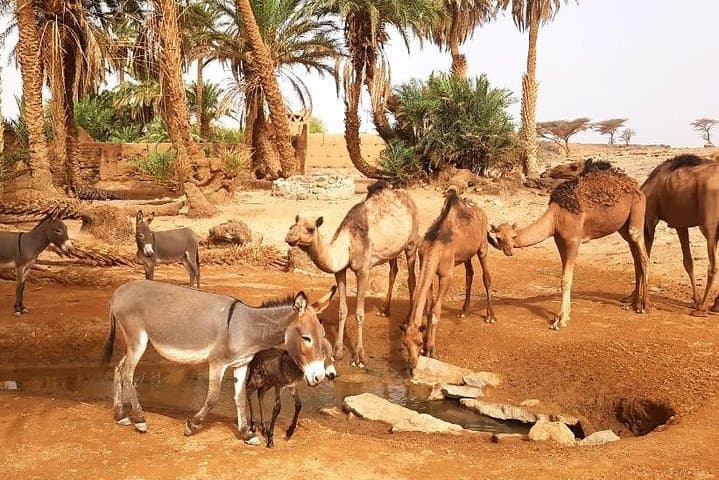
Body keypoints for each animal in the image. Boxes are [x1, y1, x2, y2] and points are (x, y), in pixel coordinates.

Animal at [286, 181, 419, 367]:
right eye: (292, 226)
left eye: (310, 229)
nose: (289, 237)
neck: (347, 244)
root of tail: (408, 197)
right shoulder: (340, 271)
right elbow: (342, 310)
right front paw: (338, 352)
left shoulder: (363, 271)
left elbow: (359, 314)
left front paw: (359, 357)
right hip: (392, 249)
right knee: (394, 270)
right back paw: (385, 310)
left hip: (411, 243)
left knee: (411, 277)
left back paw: (408, 319)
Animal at [401, 187, 497, 373]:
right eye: (405, 344)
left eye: (419, 342)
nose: (412, 364)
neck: (434, 246)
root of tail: (481, 211)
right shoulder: (428, 272)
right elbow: (428, 308)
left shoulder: (446, 275)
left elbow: (435, 310)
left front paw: (430, 349)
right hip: (466, 254)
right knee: (470, 273)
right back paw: (464, 311)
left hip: (482, 245)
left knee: (486, 276)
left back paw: (490, 316)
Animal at [490, 162, 650, 330]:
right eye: (498, 238)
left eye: (513, 237)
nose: (509, 251)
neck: (556, 217)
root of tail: (637, 187)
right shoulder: (560, 241)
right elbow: (563, 277)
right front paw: (562, 316)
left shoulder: (573, 240)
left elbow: (566, 278)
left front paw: (561, 320)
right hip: (623, 226)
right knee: (636, 257)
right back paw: (633, 303)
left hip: (637, 212)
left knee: (643, 256)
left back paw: (643, 306)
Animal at [544, 154, 719, 315]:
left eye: (574, 166)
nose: (550, 171)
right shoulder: (679, 223)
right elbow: (687, 262)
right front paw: (695, 299)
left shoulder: (649, 220)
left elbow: (641, 259)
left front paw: (636, 300)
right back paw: (712, 305)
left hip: (709, 224)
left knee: (712, 264)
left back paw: (702, 308)